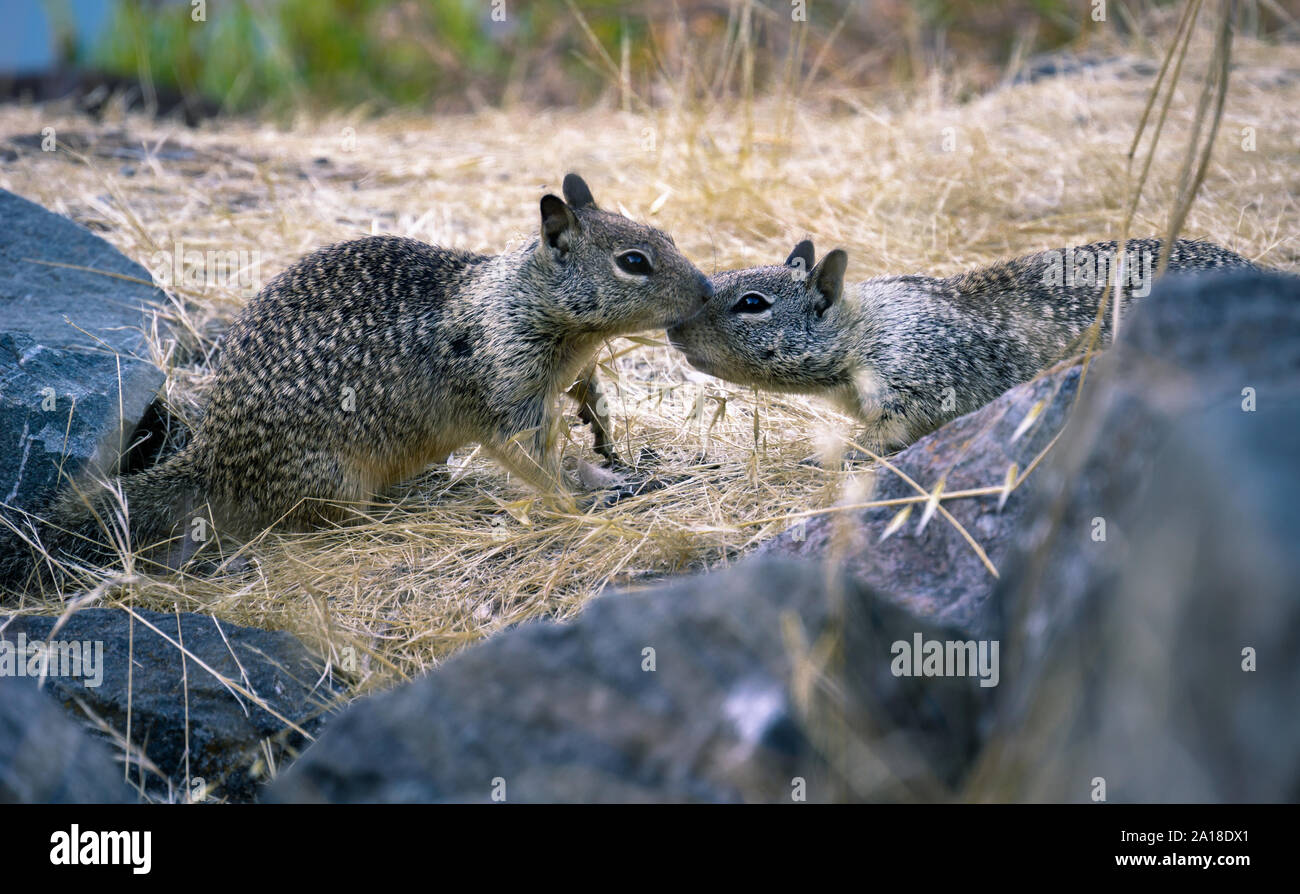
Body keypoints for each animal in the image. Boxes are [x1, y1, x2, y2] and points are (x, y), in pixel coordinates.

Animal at [2, 172, 712, 587]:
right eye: (634, 262)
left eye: (666, 234)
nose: (707, 290)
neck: (521, 302)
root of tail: (212, 457)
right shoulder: (504, 394)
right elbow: (530, 457)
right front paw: (579, 494)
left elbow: (579, 406)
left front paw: (602, 431)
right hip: (333, 476)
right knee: (313, 522)